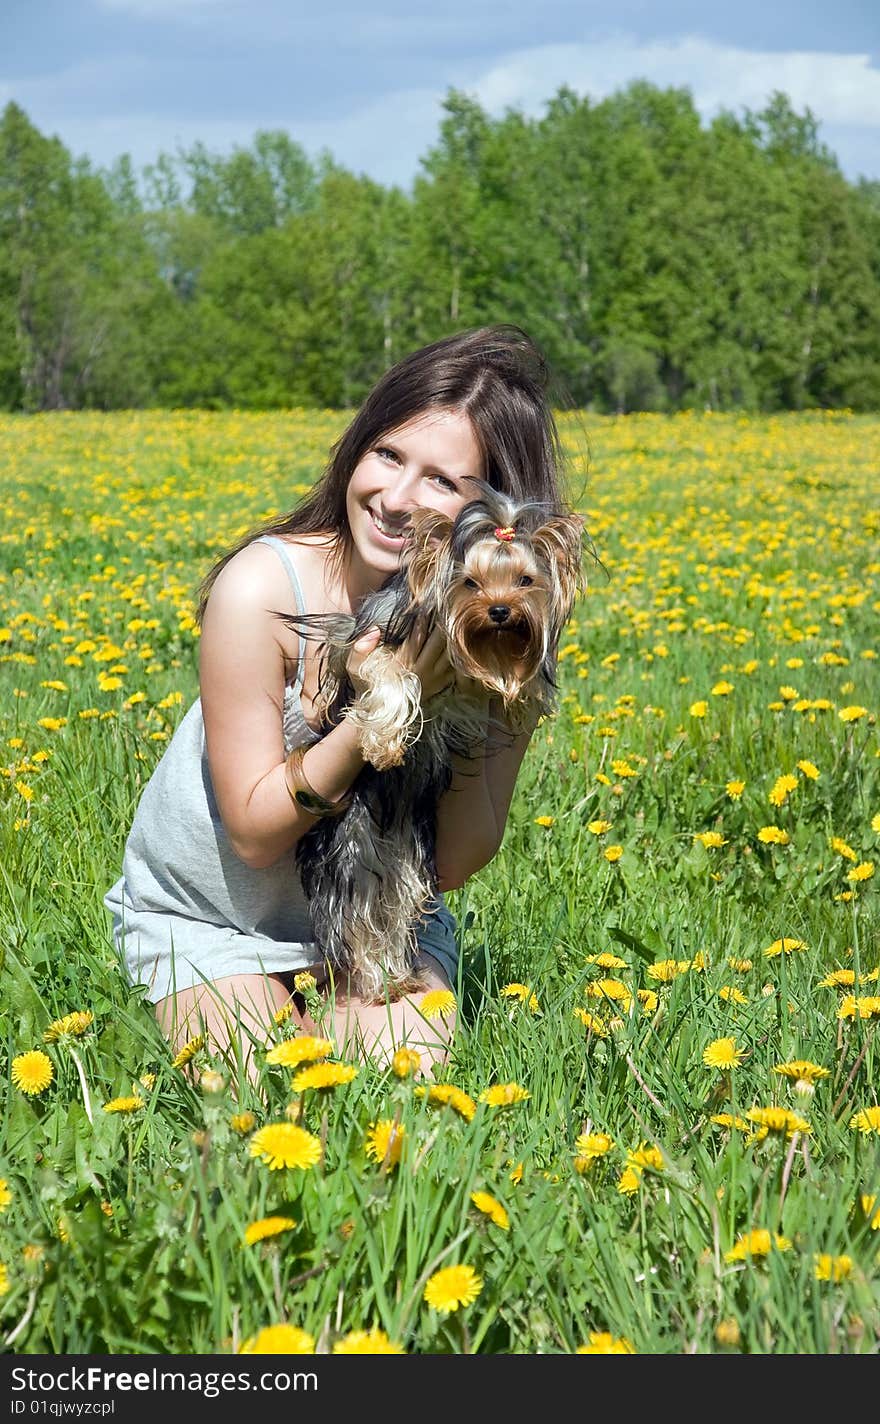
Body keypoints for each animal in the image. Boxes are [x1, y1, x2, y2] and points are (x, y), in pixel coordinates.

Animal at [280, 484, 583, 996]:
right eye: (470, 583)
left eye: (525, 580)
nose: (500, 611)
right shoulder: (361, 640)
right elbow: (387, 673)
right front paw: (384, 740)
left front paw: (520, 694)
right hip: (353, 855)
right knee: (361, 914)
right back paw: (381, 982)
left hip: (407, 866)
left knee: (395, 908)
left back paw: (399, 977)